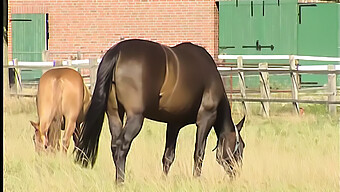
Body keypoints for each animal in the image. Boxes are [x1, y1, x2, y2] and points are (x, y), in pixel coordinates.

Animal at [74, 39, 246, 183]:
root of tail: (118, 51)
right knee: (122, 146)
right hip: (135, 118)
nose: (236, 173)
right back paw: (121, 182)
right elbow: (199, 153)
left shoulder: (174, 124)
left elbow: (168, 156)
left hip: (115, 114)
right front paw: (196, 180)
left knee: (115, 145)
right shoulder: (205, 119)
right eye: (241, 147)